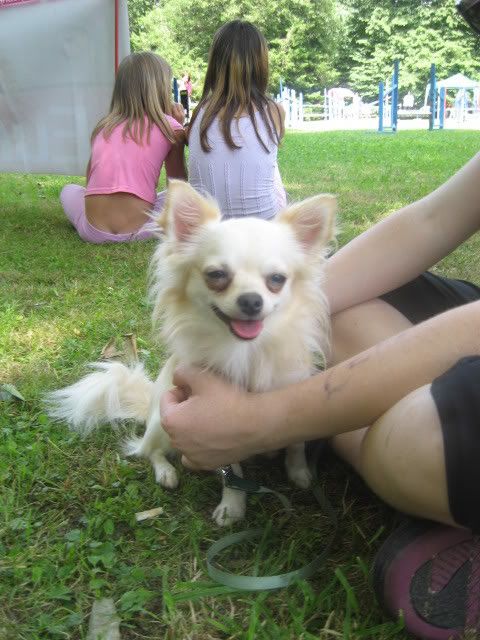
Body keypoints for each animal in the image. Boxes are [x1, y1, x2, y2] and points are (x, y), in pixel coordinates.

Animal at [47, 181, 336, 526]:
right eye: (216, 275)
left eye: (277, 280)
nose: (251, 300)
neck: (246, 351)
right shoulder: (209, 421)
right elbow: (232, 470)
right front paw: (233, 505)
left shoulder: (291, 386)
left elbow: (296, 442)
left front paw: (300, 472)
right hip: (163, 422)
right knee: (149, 450)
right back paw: (166, 472)